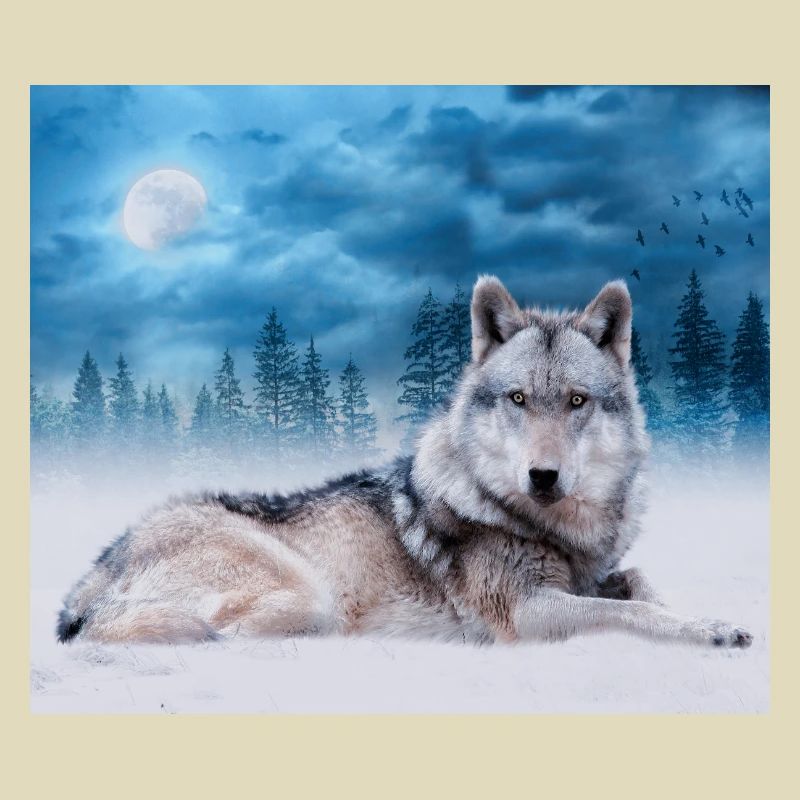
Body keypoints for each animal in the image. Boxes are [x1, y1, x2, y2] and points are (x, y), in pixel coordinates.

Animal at [56, 277, 752, 648]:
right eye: (518, 399)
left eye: (577, 401)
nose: (543, 476)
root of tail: (95, 574)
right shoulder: (523, 613)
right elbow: (630, 611)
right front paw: (709, 631)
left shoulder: (592, 576)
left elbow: (641, 585)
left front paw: (712, 620)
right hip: (306, 596)